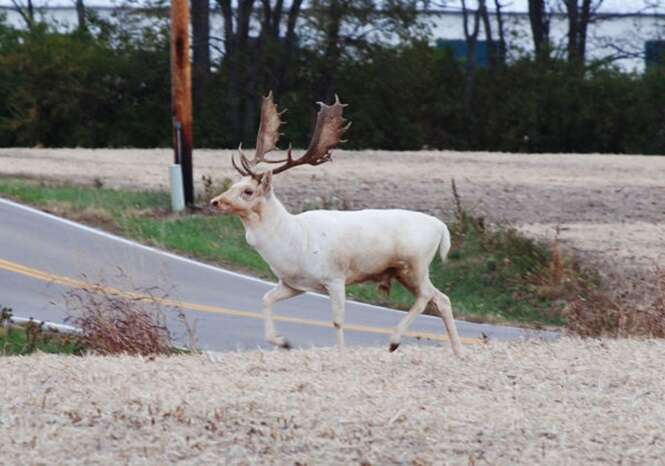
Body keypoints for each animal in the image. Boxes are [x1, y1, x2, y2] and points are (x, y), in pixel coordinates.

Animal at [213, 92, 462, 356]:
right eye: (234, 184)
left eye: (248, 191)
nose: (215, 201)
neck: (294, 244)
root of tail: (441, 227)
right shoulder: (293, 283)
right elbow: (266, 299)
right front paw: (283, 342)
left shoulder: (335, 276)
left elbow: (338, 320)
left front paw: (341, 354)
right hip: (406, 271)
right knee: (442, 298)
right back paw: (458, 352)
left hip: (414, 263)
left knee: (426, 296)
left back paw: (394, 340)